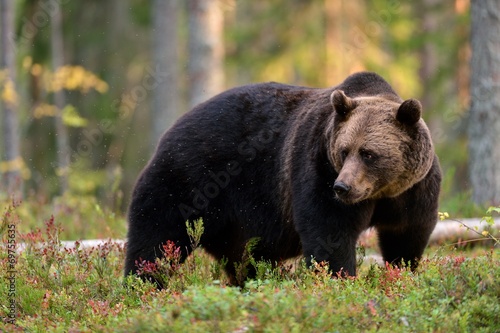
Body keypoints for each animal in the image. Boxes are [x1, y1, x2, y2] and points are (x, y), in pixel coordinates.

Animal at [125, 71, 442, 284]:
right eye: (344, 150)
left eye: (368, 153)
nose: (343, 187)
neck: (381, 192)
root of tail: (171, 129)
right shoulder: (318, 168)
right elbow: (330, 233)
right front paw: (339, 280)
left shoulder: (414, 190)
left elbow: (407, 235)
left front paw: (402, 272)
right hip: (187, 180)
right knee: (156, 237)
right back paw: (141, 285)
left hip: (236, 223)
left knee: (246, 260)